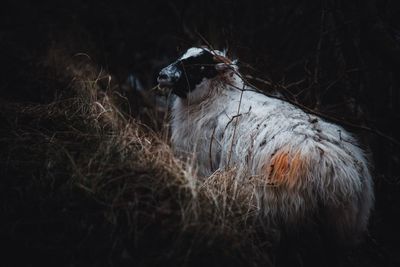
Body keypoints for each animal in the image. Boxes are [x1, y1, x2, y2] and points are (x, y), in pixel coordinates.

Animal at [155, 47, 372, 244]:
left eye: (198, 67)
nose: (162, 75)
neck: (215, 98)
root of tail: (339, 173)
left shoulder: (202, 164)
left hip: (286, 211)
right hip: (340, 227)